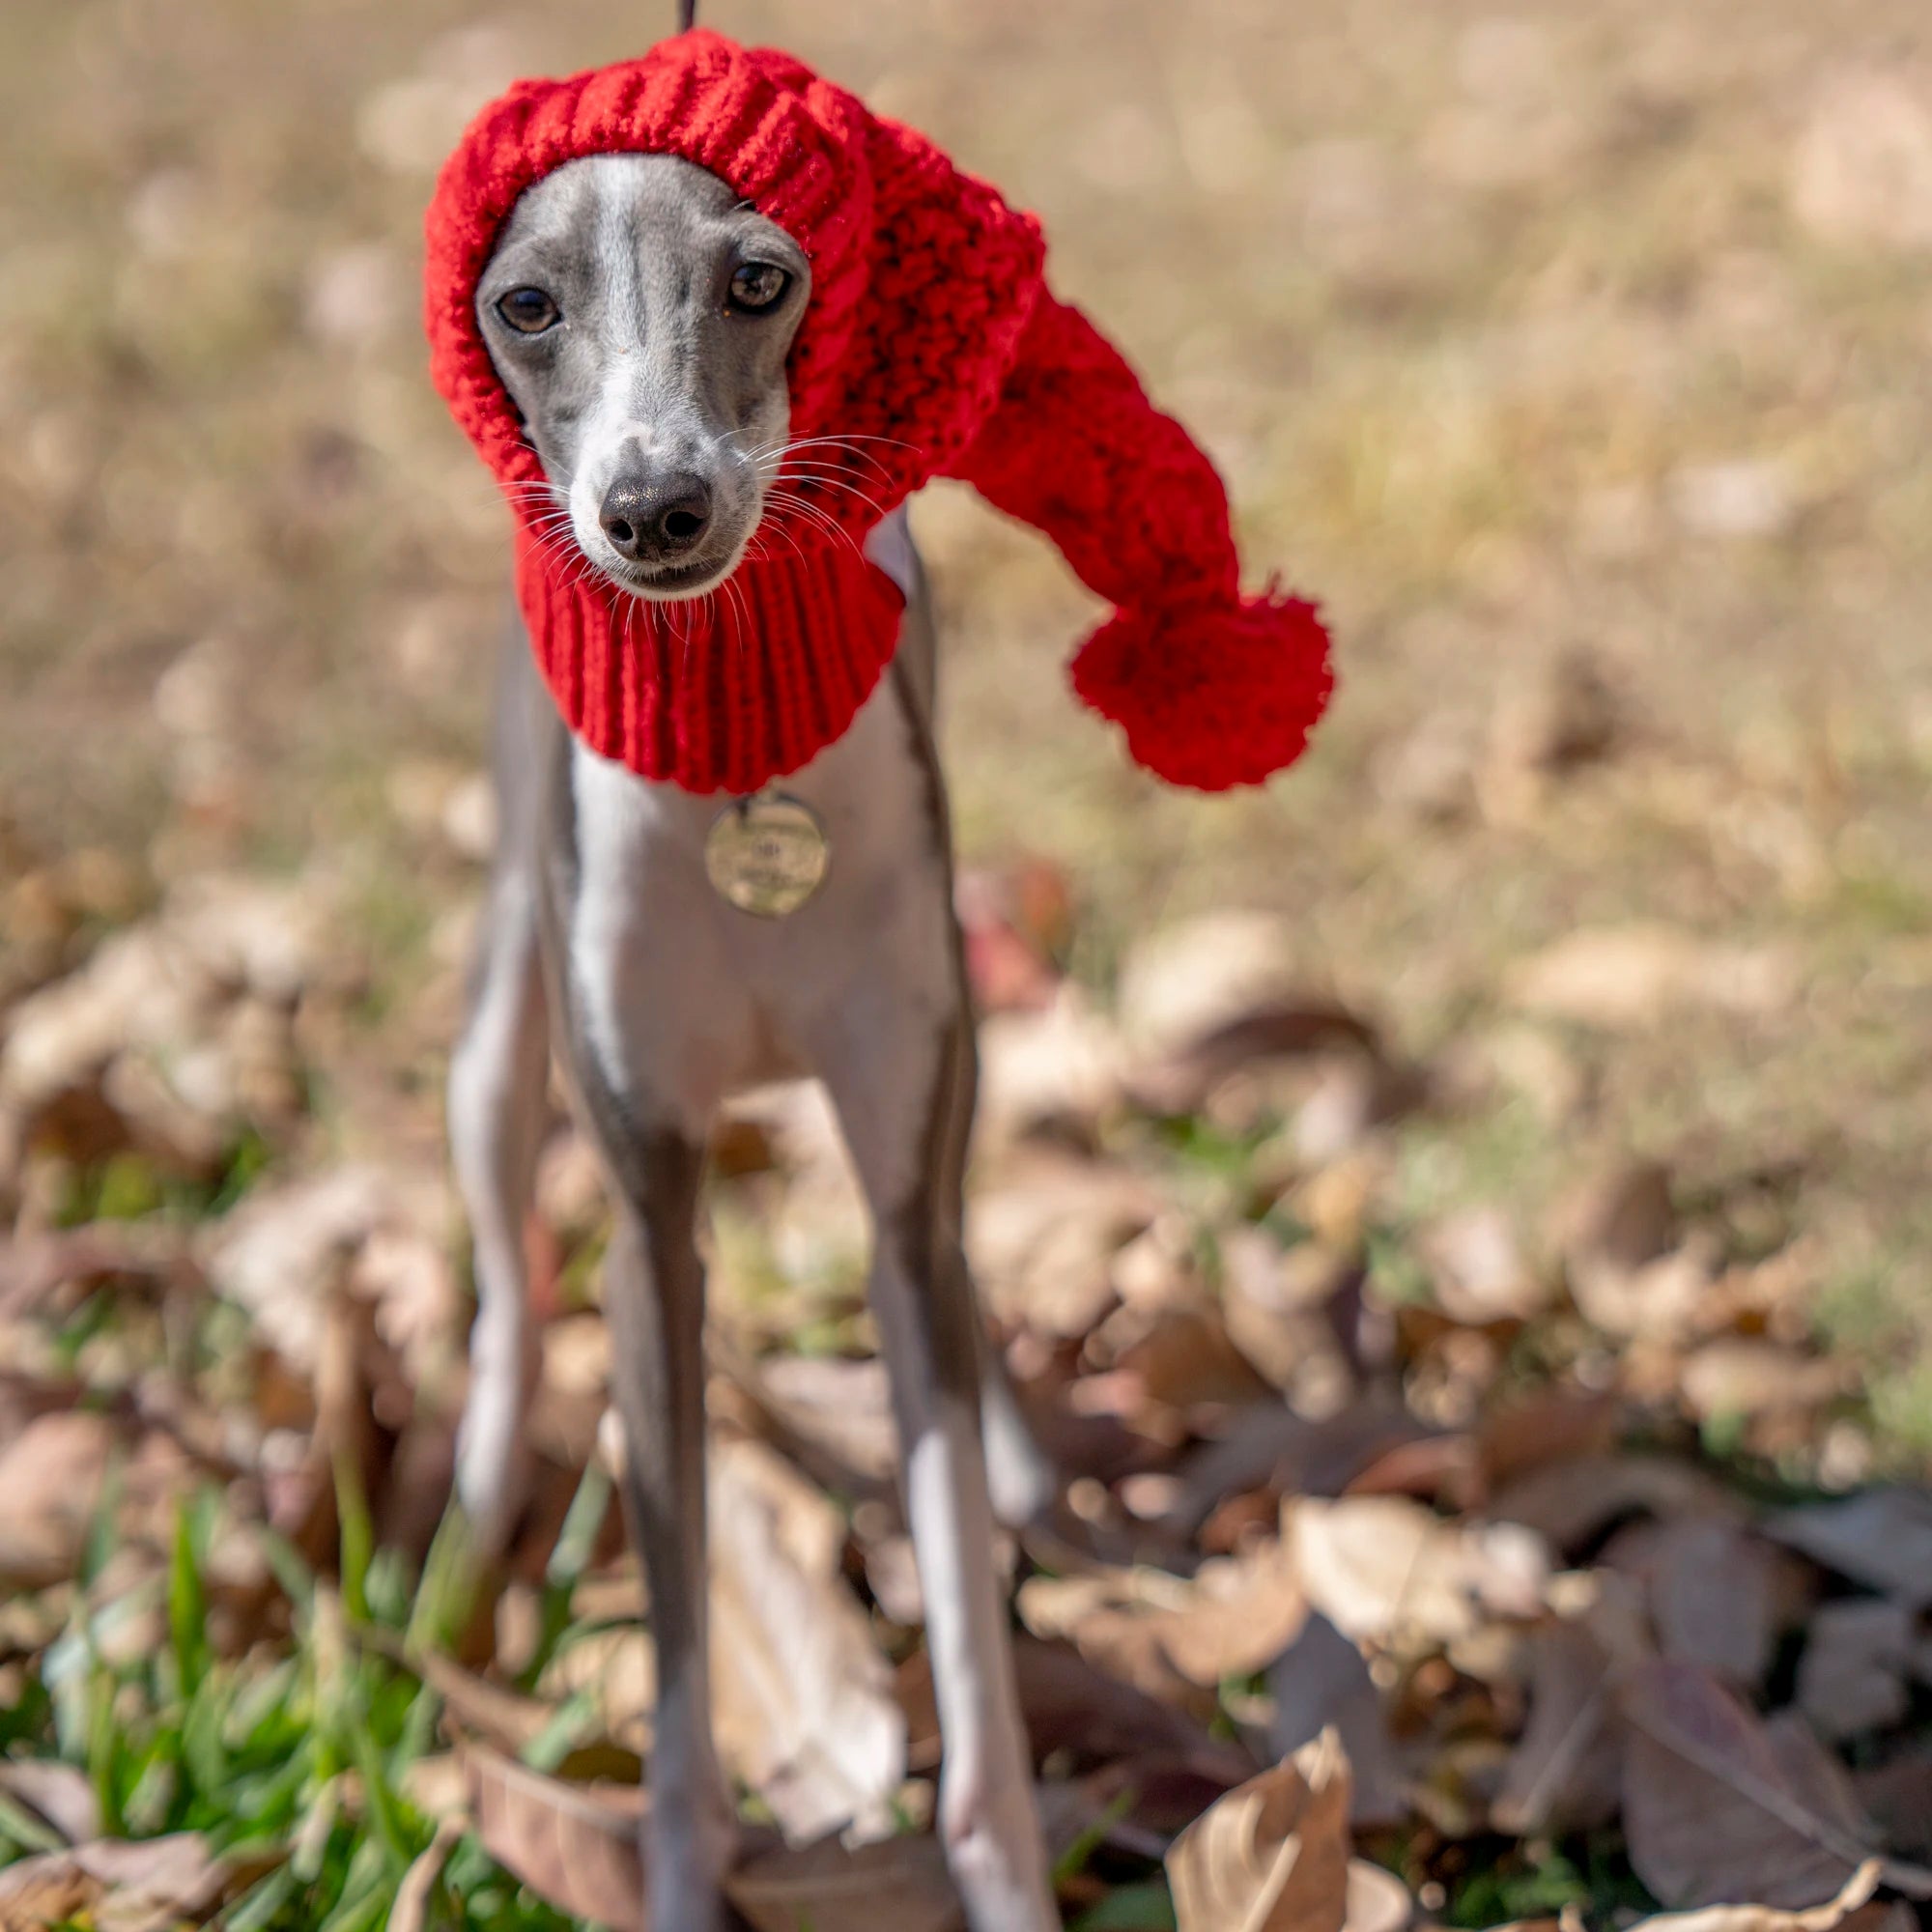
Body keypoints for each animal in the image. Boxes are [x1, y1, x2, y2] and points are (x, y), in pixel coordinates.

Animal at [444, 151, 1066, 1932]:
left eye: (760, 277)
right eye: (527, 302)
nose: (656, 510)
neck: (735, 747)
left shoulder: (902, 1134)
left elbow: (968, 1614)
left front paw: (1006, 1875)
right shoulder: (652, 1228)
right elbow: (674, 1656)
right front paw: (677, 1867)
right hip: (498, 1033)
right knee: (506, 1261)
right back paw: (469, 1510)